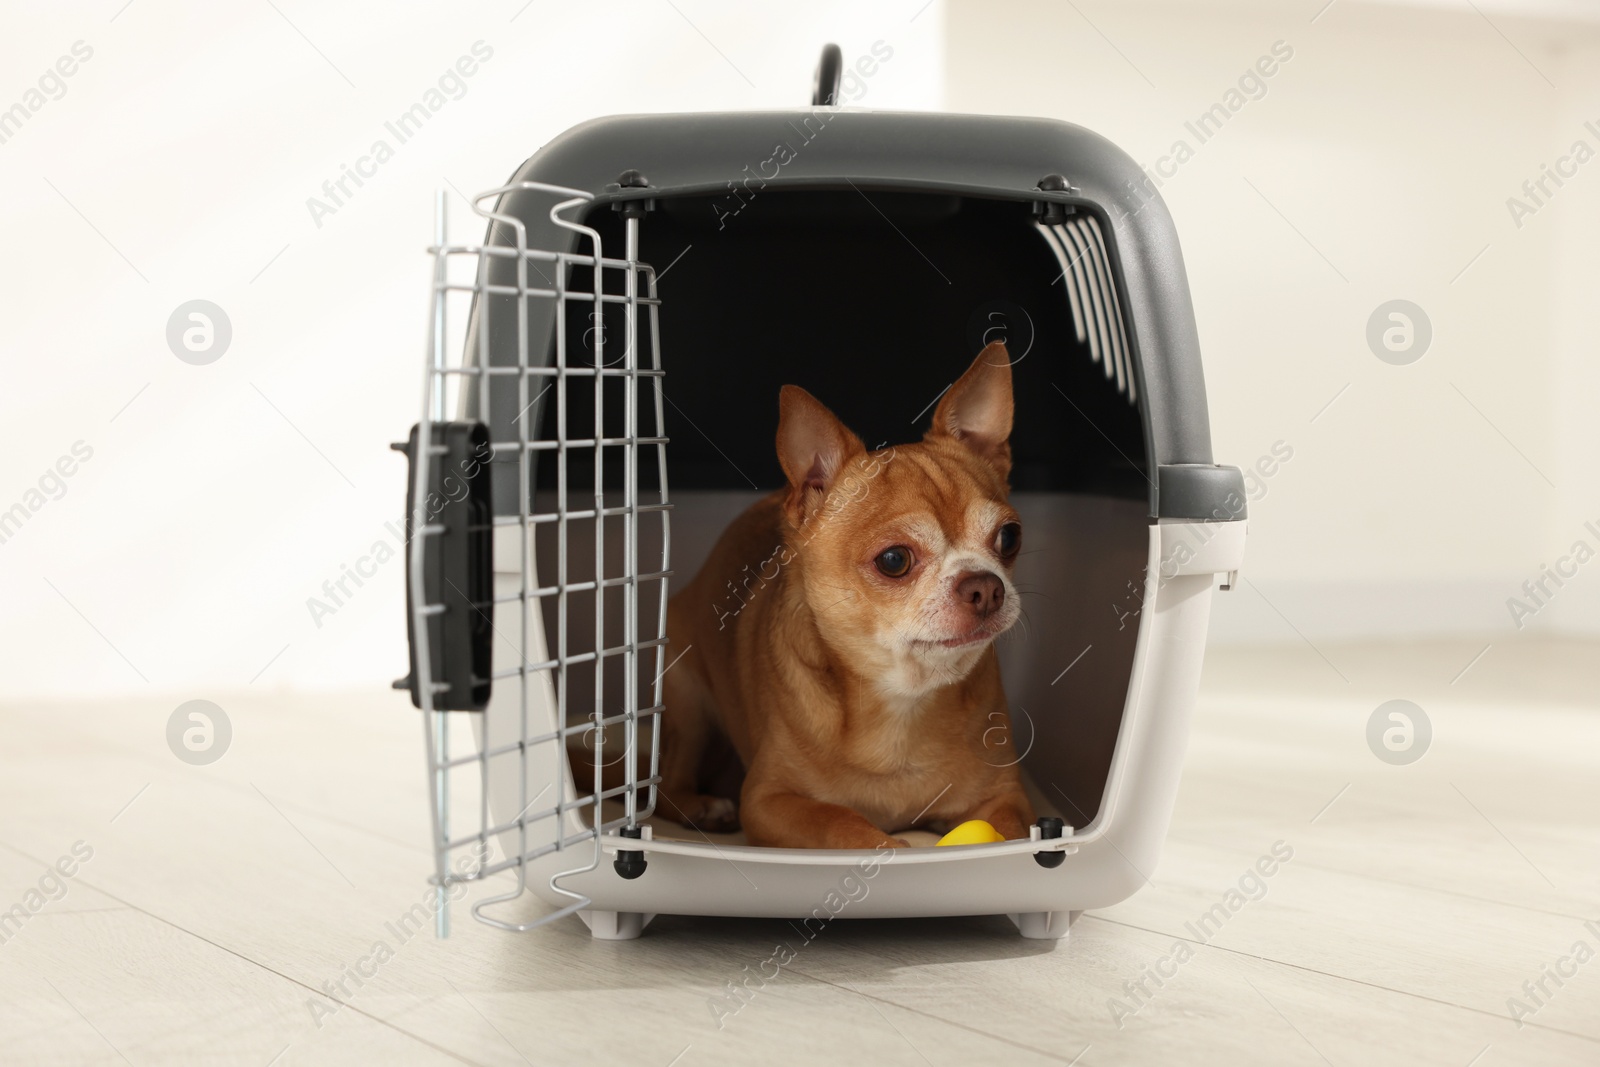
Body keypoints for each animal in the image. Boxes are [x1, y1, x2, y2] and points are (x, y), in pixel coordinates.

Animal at [652, 342, 1036, 851]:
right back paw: (703, 807)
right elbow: (838, 820)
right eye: (894, 560)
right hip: (688, 706)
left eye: (1009, 538)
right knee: (665, 787)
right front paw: (887, 847)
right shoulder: (768, 801)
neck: (903, 700)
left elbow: (1008, 834)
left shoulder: (1005, 797)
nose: (985, 586)